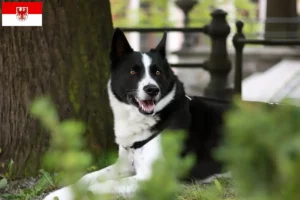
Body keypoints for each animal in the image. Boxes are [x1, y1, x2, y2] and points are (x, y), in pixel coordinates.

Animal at [42, 28, 230, 200]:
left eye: (157, 72)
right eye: (133, 72)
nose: (152, 89)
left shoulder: (155, 179)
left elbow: (100, 186)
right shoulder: (124, 165)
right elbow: (85, 178)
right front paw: (58, 194)